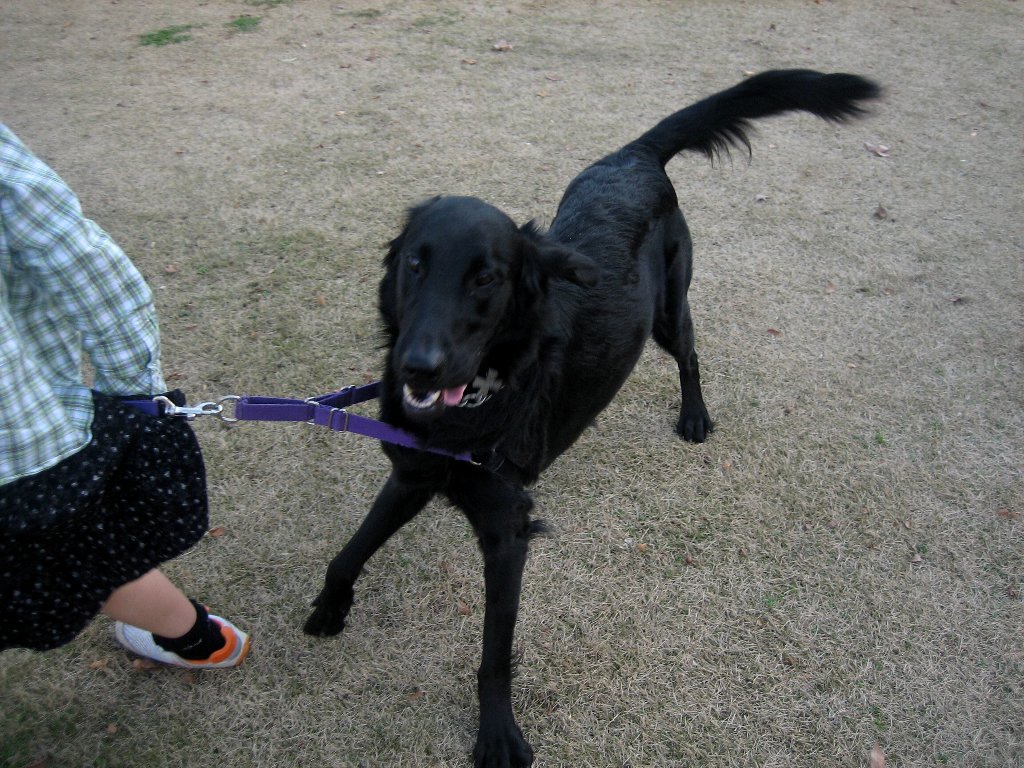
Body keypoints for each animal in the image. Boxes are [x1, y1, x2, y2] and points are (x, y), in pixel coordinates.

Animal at [304, 69, 880, 767]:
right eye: (415, 262)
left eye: (486, 279)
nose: (417, 368)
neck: (483, 397)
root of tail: (634, 156)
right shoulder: (415, 473)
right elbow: (351, 549)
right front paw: (332, 605)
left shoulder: (507, 530)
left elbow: (494, 654)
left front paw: (497, 733)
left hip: (669, 310)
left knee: (692, 354)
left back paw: (694, 415)